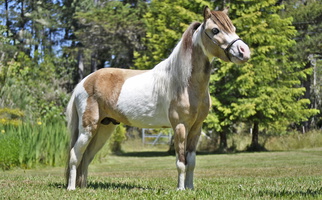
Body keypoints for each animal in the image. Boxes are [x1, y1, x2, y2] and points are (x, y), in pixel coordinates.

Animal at [66, 6, 252, 191]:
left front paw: (190, 188)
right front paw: (181, 189)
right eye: (215, 30)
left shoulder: (196, 129)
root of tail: (84, 82)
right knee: (75, 154)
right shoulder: (180, 127)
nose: (244, 52)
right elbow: (181, 162)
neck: (184, 83)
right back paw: (72, 188)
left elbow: (191, 162)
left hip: (104, 128)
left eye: (233, 28)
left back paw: (84, 187)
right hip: (88, 128)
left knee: (86, 157)